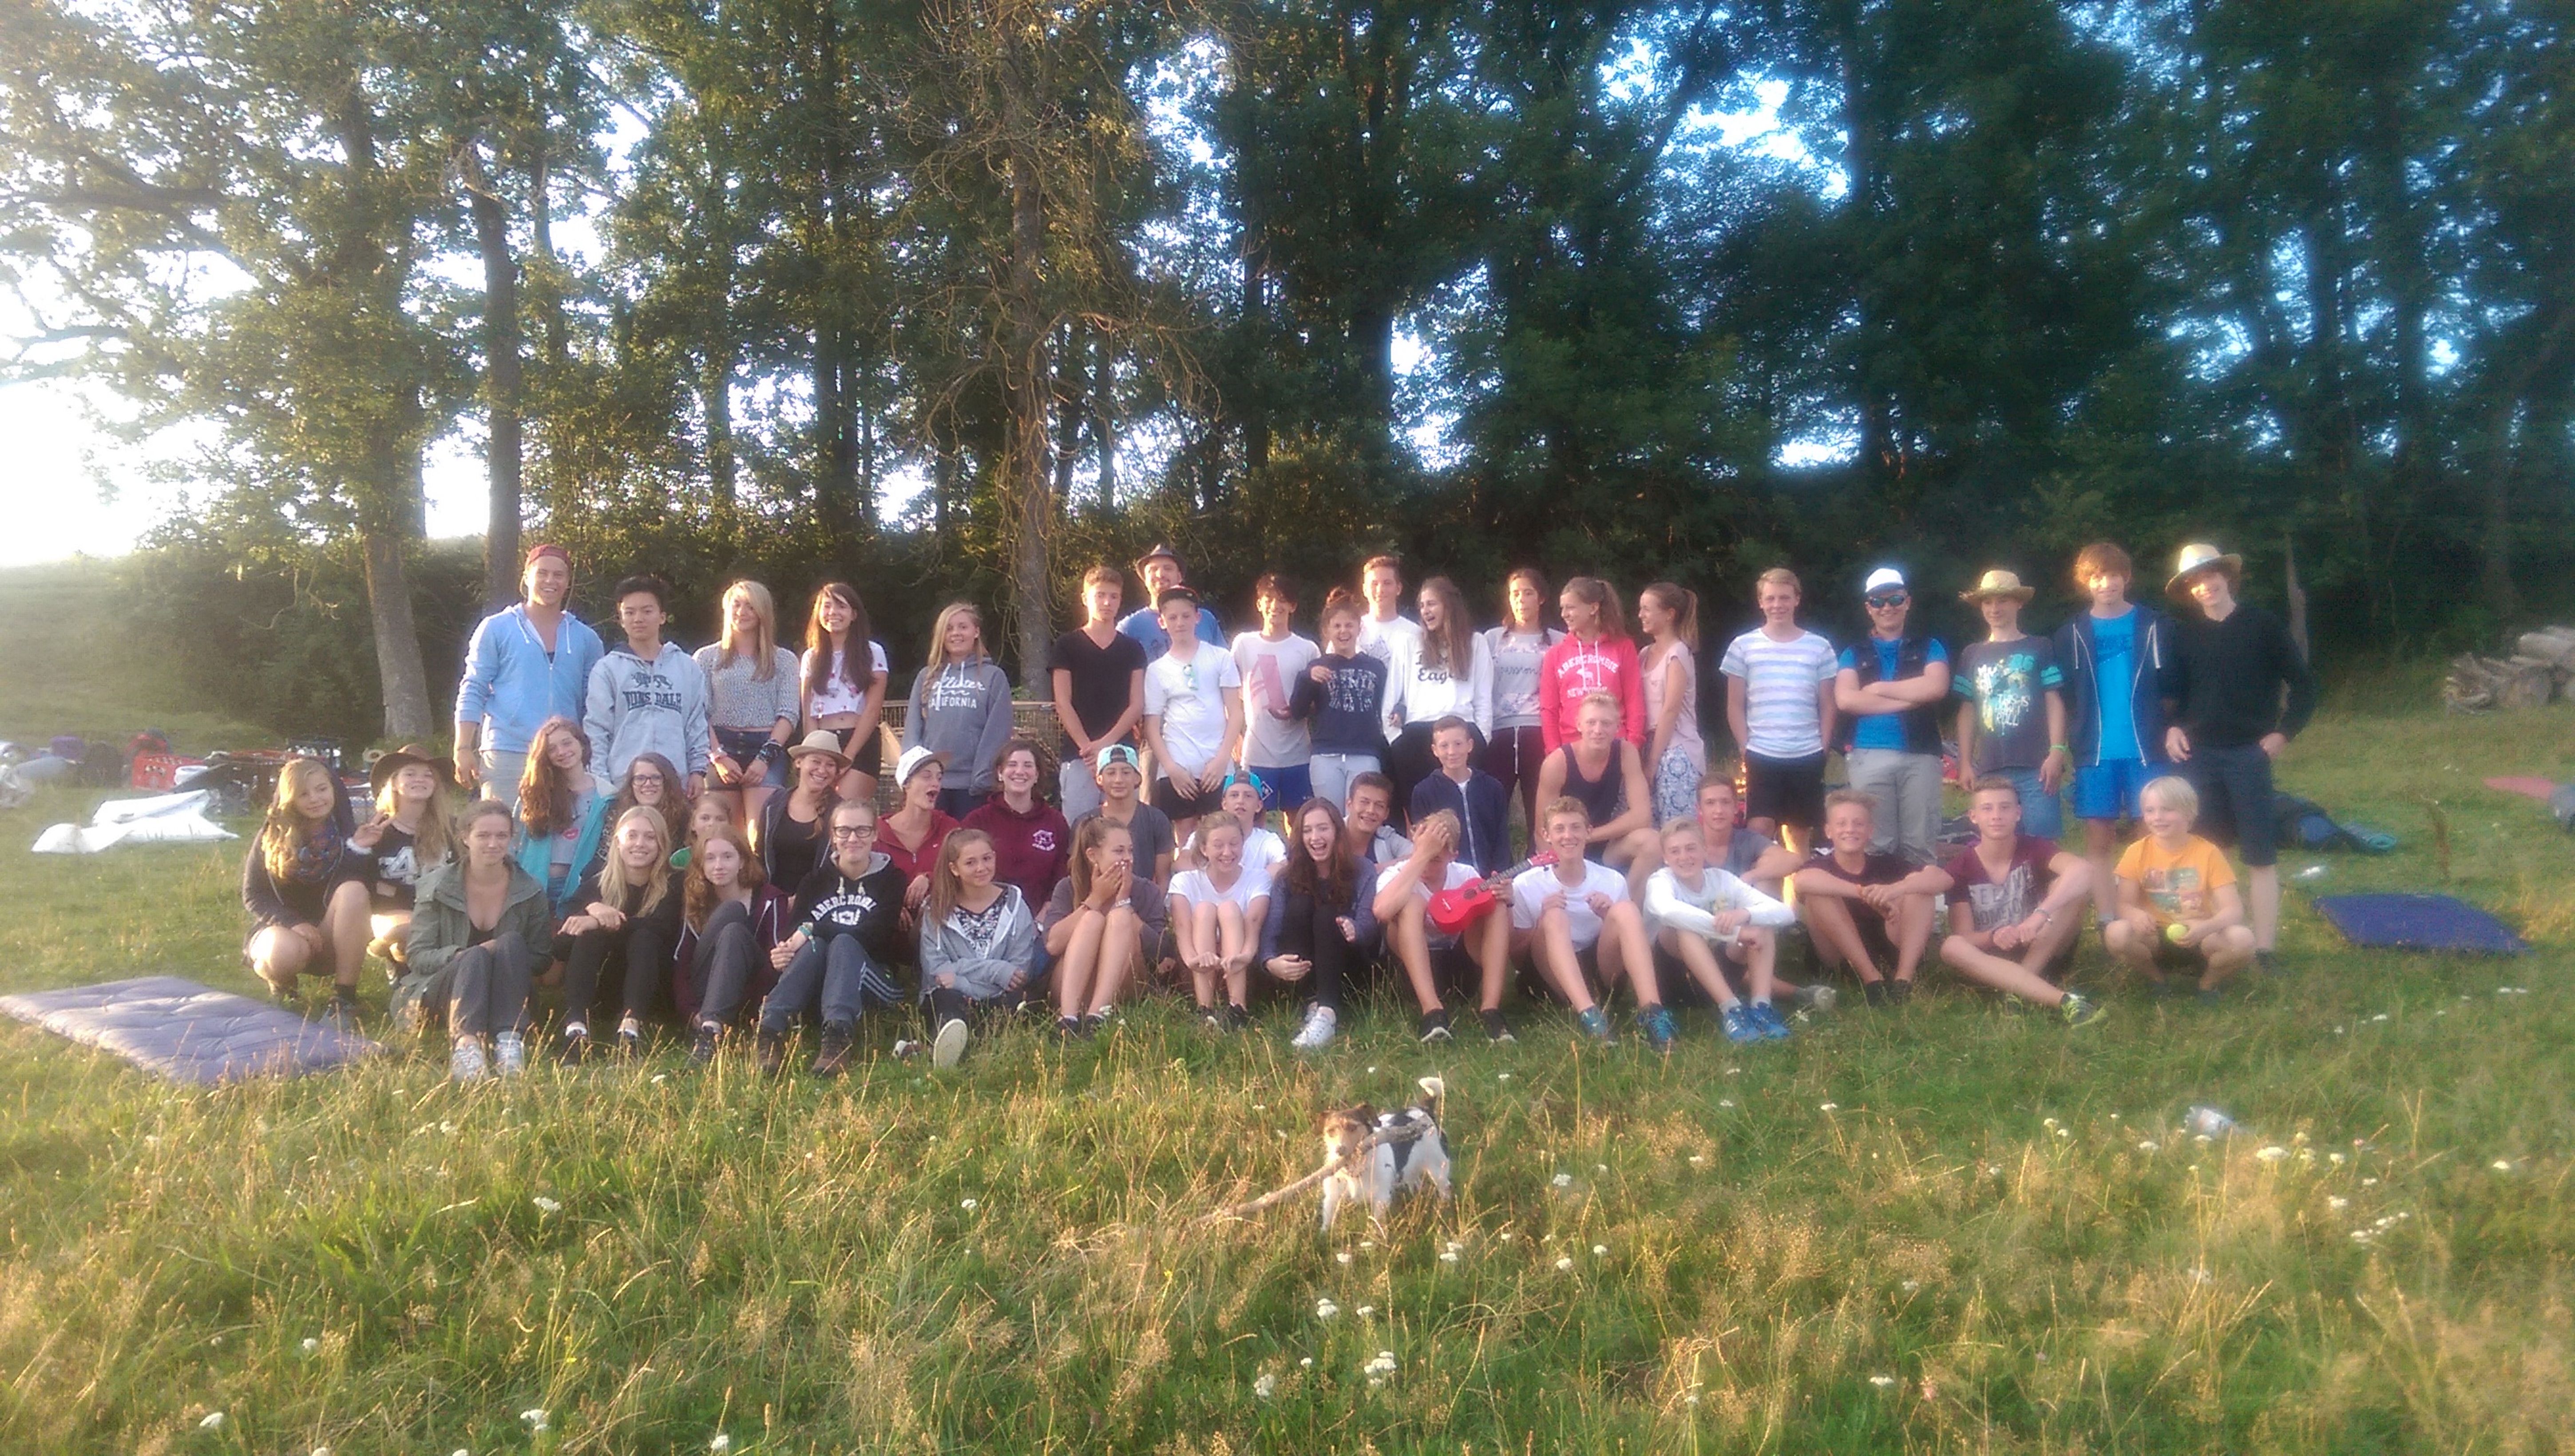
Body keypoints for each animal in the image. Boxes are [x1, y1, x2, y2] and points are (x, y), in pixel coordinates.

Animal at [1318, 1076, 1451, 1230]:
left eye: (1353, 1127)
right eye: (1330, 1131)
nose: (1339, 1150)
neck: (1355, 1168)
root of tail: (1425, 1110)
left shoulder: (1380, 1199)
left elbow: (1377, 1223)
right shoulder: (1332, 1197)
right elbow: (1328, 1218)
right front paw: (1325, 1234)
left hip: (1438, 1167)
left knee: (1445, 1188)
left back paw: (1444, 1208)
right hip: (1411, 1168)